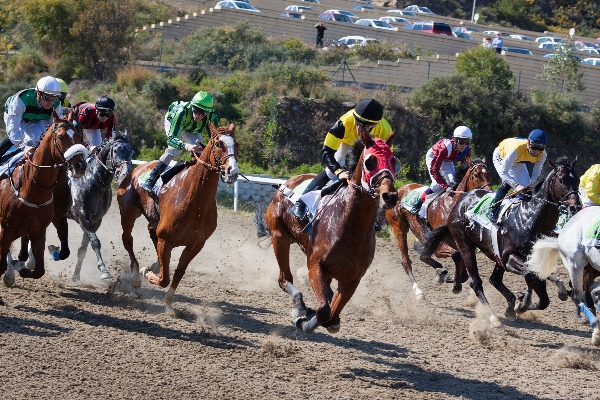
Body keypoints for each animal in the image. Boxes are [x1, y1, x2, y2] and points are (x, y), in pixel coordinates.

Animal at [0, 111, 87, 296]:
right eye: (60, 137)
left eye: (79, 135)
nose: (79, 165)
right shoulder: (7, 229)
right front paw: (12, 270)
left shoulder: (42, 229)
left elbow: (40, 268)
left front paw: (23, 266)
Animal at [117, 123, 239, 310]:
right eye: (219, 144)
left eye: (236, 144)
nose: (232, 172)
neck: (195, 200)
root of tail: (134, 170)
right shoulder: (165, 239)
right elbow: (164, 279)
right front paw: (147, 272)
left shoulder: (196, 244)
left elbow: (179, 272)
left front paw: (168, 302)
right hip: (128, 213)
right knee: (127, 240)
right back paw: (137, 276)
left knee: (150, 233)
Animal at [255, 130, 396, 334]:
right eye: (370, 161)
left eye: (394, 161)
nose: (390, 196)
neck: (351, 227)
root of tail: (287, 183)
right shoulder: (316, 265)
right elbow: (323, 311)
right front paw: (302, 320)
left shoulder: (352, 278)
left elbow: (332, 317)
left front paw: (318, 315)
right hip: (279, 236)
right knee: (284, 279)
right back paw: (299, 305)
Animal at [386, 158, 490, 298]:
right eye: (476, 175)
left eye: (490, 173)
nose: (488, 194)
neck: (453, 204)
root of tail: (399, 190)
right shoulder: (442, 241)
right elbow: (455, 255)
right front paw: (453, 283)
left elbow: (463, 272)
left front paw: (450, 278)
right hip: (399, 229)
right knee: (406, 260)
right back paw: (418, 290)